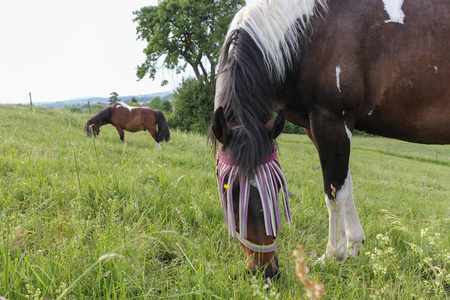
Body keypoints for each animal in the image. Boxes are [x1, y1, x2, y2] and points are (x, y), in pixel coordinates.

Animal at [209, 0, 448, 278]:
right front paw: (354, 246)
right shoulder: (314, 128)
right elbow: (346, 185)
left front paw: (333, 255)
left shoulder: (332, 121)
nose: (266, 271)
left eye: (277, 186)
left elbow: (334, 193)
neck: (310, 32)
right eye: (229, 189)